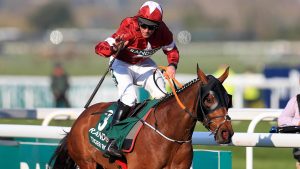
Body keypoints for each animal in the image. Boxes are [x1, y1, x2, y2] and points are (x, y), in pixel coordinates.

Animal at [48, 65, 234, 168]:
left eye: (228, 98)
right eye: (209, 99)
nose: (226, 132)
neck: (170, 133)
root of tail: (79, 119)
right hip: (87, 162)